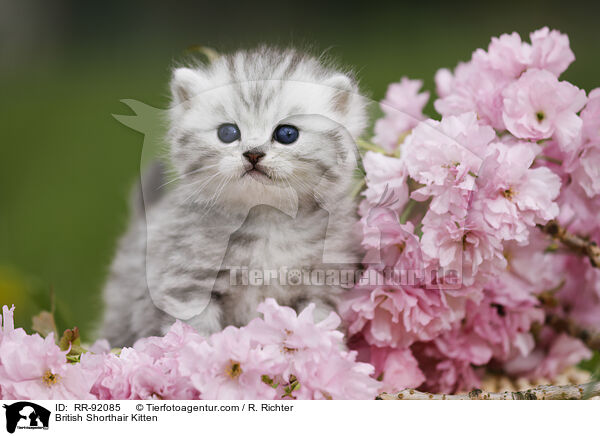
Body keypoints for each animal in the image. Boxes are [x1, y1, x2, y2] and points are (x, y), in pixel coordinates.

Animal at [101, 46, 368, 348]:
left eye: (287, 134)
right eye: (228, 133)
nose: (253, 153)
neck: (268, 222)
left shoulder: (321, 287)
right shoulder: (189, 286)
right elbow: (197, 337)